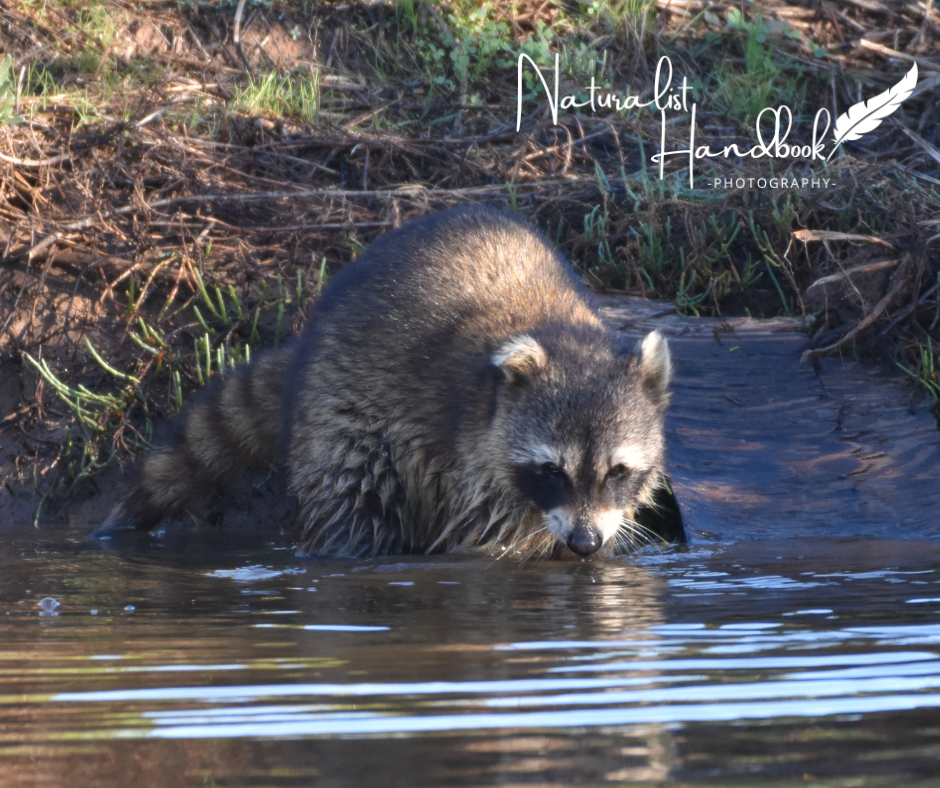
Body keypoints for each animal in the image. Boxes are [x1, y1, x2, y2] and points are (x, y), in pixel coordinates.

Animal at [93, 205, 673, 559]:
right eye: (551, 470)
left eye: (618, 471)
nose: (584, 542)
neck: (559, 327)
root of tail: (308, 342)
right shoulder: (474, 459)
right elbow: (488, 540)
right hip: (341, 412)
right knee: (354, 501)